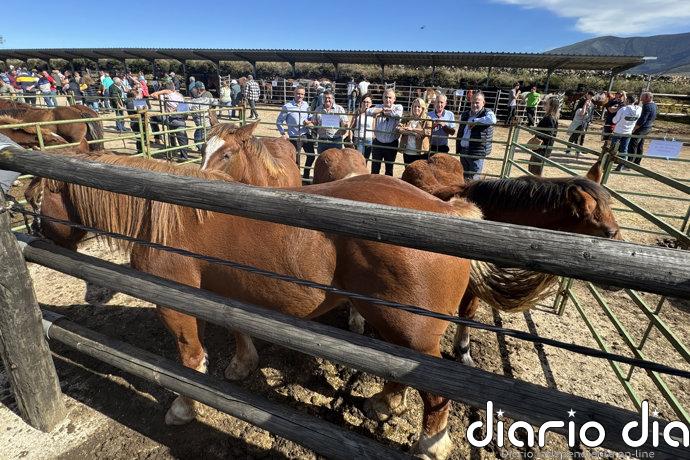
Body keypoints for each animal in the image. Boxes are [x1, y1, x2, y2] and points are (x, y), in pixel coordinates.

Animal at [28, 150, 486, 459]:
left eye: (38, 201)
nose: (36, 231)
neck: (167, 216)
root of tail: (448, 210)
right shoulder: (226, 293)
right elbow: (238, 330)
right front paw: (241, 366)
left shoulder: (176, 306)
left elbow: (189, 361)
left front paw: (183, 408)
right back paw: (384, 403)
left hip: (412, 333)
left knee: (435, 394)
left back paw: (430, 444)